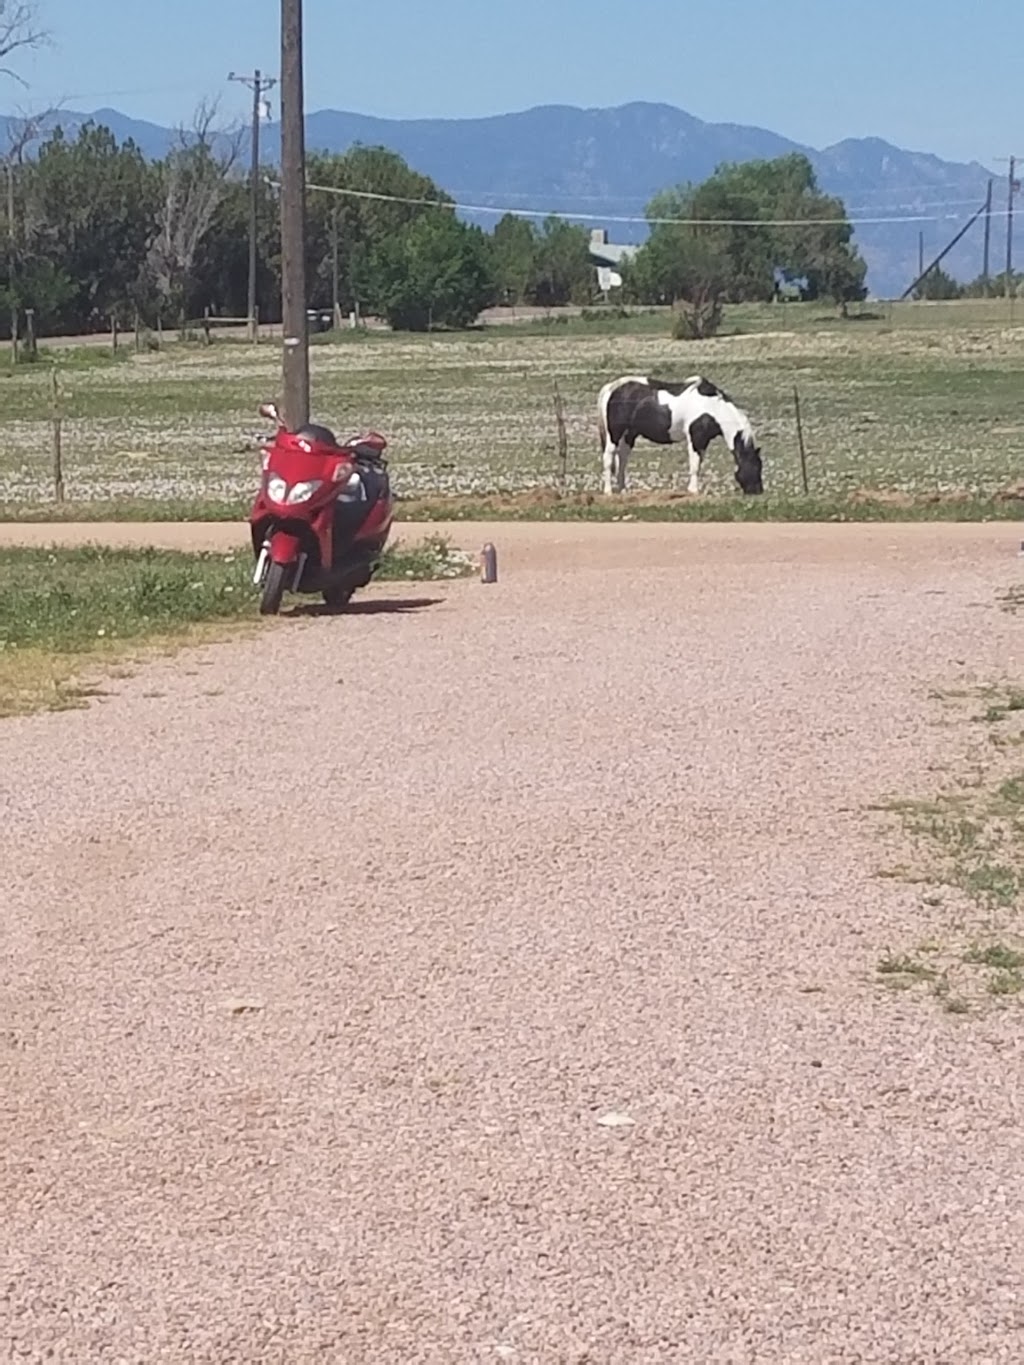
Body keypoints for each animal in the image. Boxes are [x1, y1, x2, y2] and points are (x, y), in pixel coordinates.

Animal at [600, 374, 764, 496]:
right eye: (754, 467)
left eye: (760, 466)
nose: (758, 491)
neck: (712, 408)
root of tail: (611, 388)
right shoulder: (696, 438)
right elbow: (695, 465)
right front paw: (694, 490)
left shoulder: (704, 441)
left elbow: (698, 464)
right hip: (614, 434)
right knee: (608, 459)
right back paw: (608, 491)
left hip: (629, 435)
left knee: (622, 459)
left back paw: (623, 490)